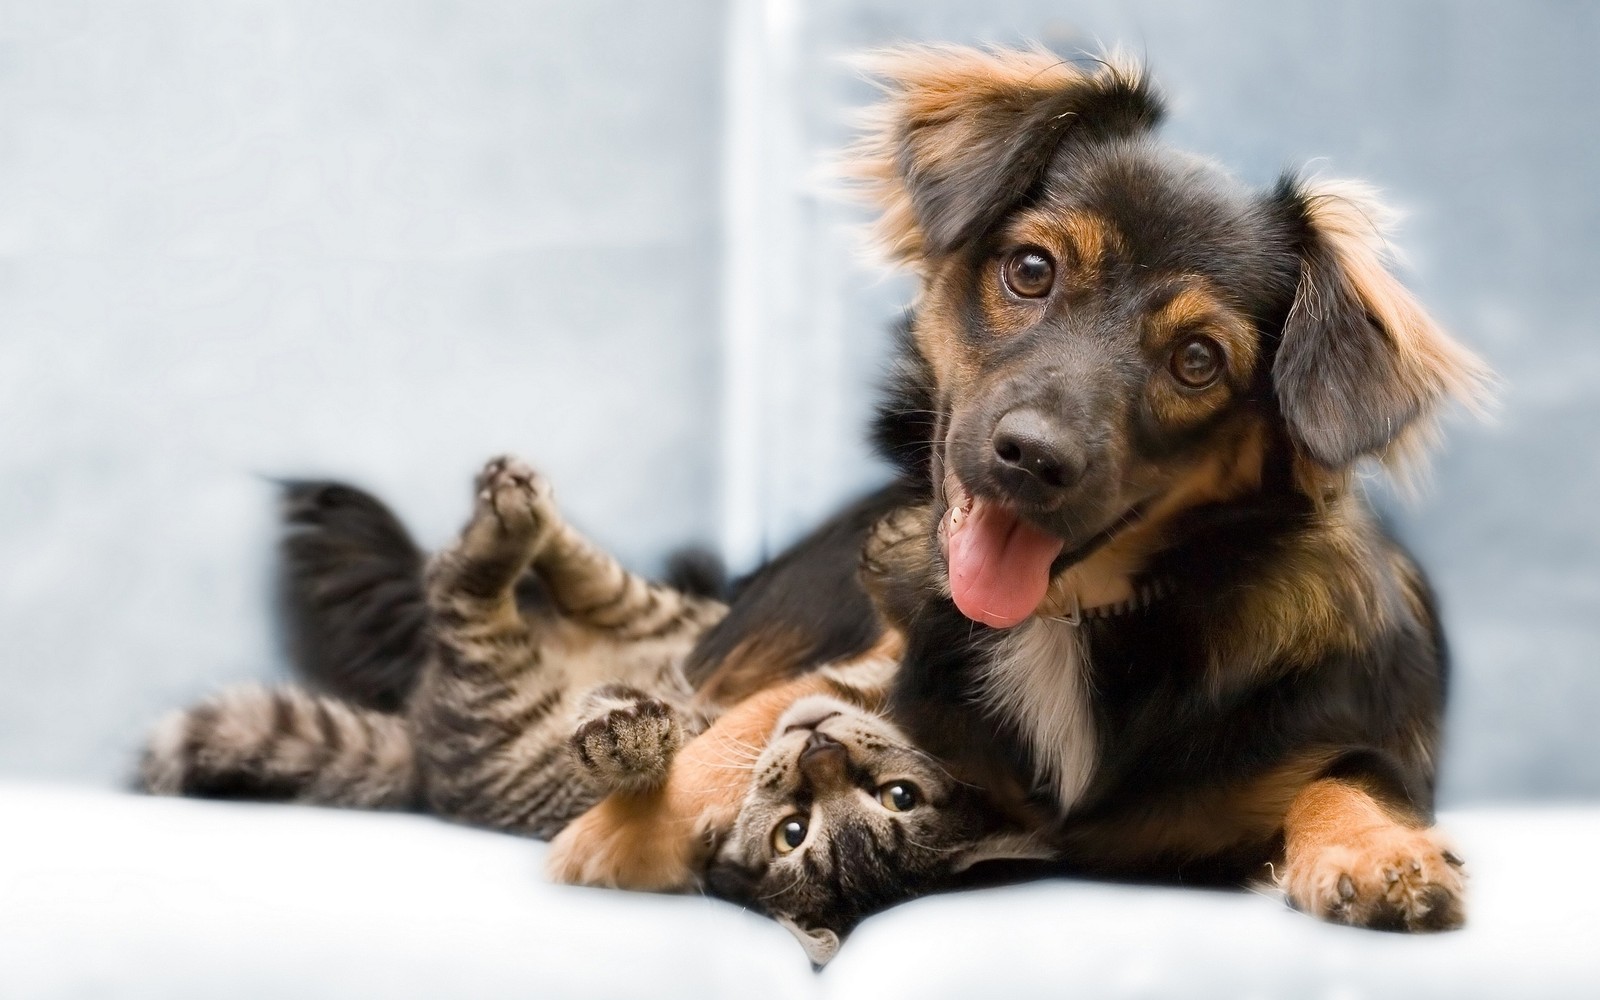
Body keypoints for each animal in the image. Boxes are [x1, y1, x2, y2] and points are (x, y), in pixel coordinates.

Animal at [681, 46, 1491, 934]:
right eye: (1032, 269)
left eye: (1198, 360)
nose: (1033, 458)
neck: (1065, 619)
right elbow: (758, 723)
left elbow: (1350, 777)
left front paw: (1377, 852)